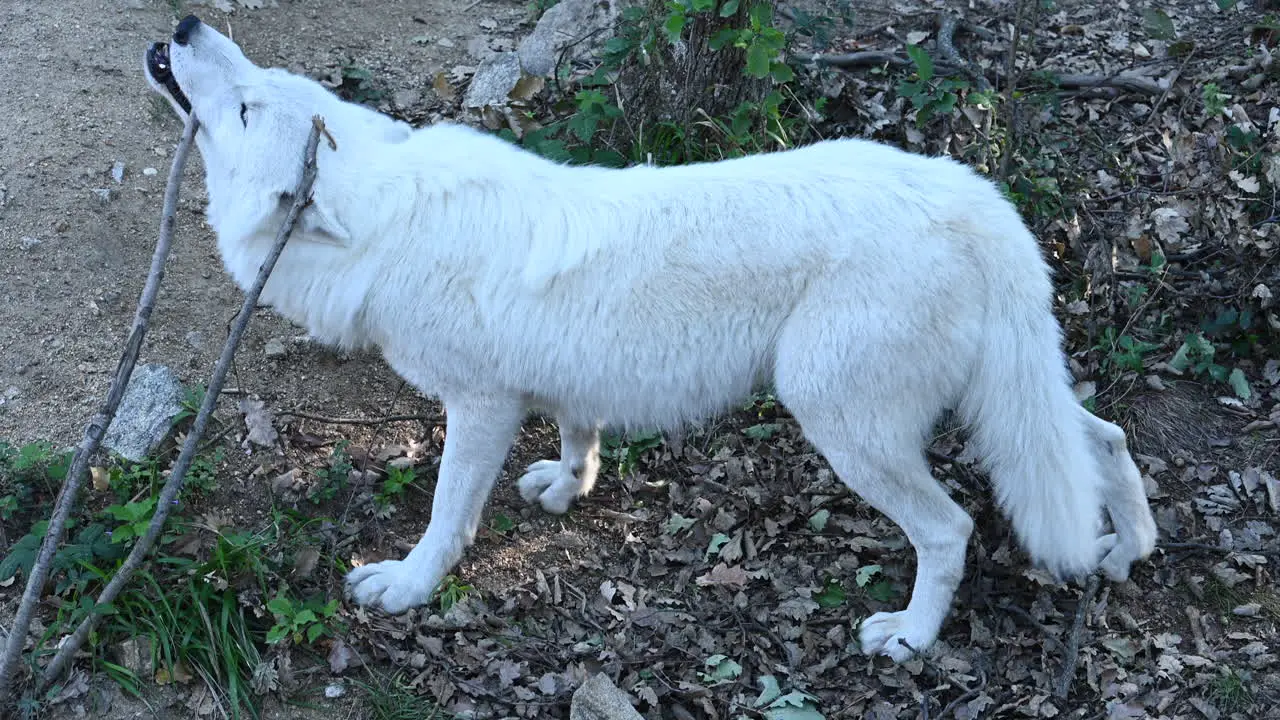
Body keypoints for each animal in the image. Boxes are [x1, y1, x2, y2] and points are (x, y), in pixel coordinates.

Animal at [149, 16, 1162, 661]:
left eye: (247, 108)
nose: (189, 24)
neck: (384, 221)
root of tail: (973, 197)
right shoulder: (559, 383)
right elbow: (578, 438)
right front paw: (566, 489)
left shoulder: (477, 405)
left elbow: (444, 517)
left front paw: (406, 588)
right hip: (1004, 396)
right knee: (1106, 438)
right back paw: (1123, 552)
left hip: (841, 421)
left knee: (951, 529)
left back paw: (910, 638)